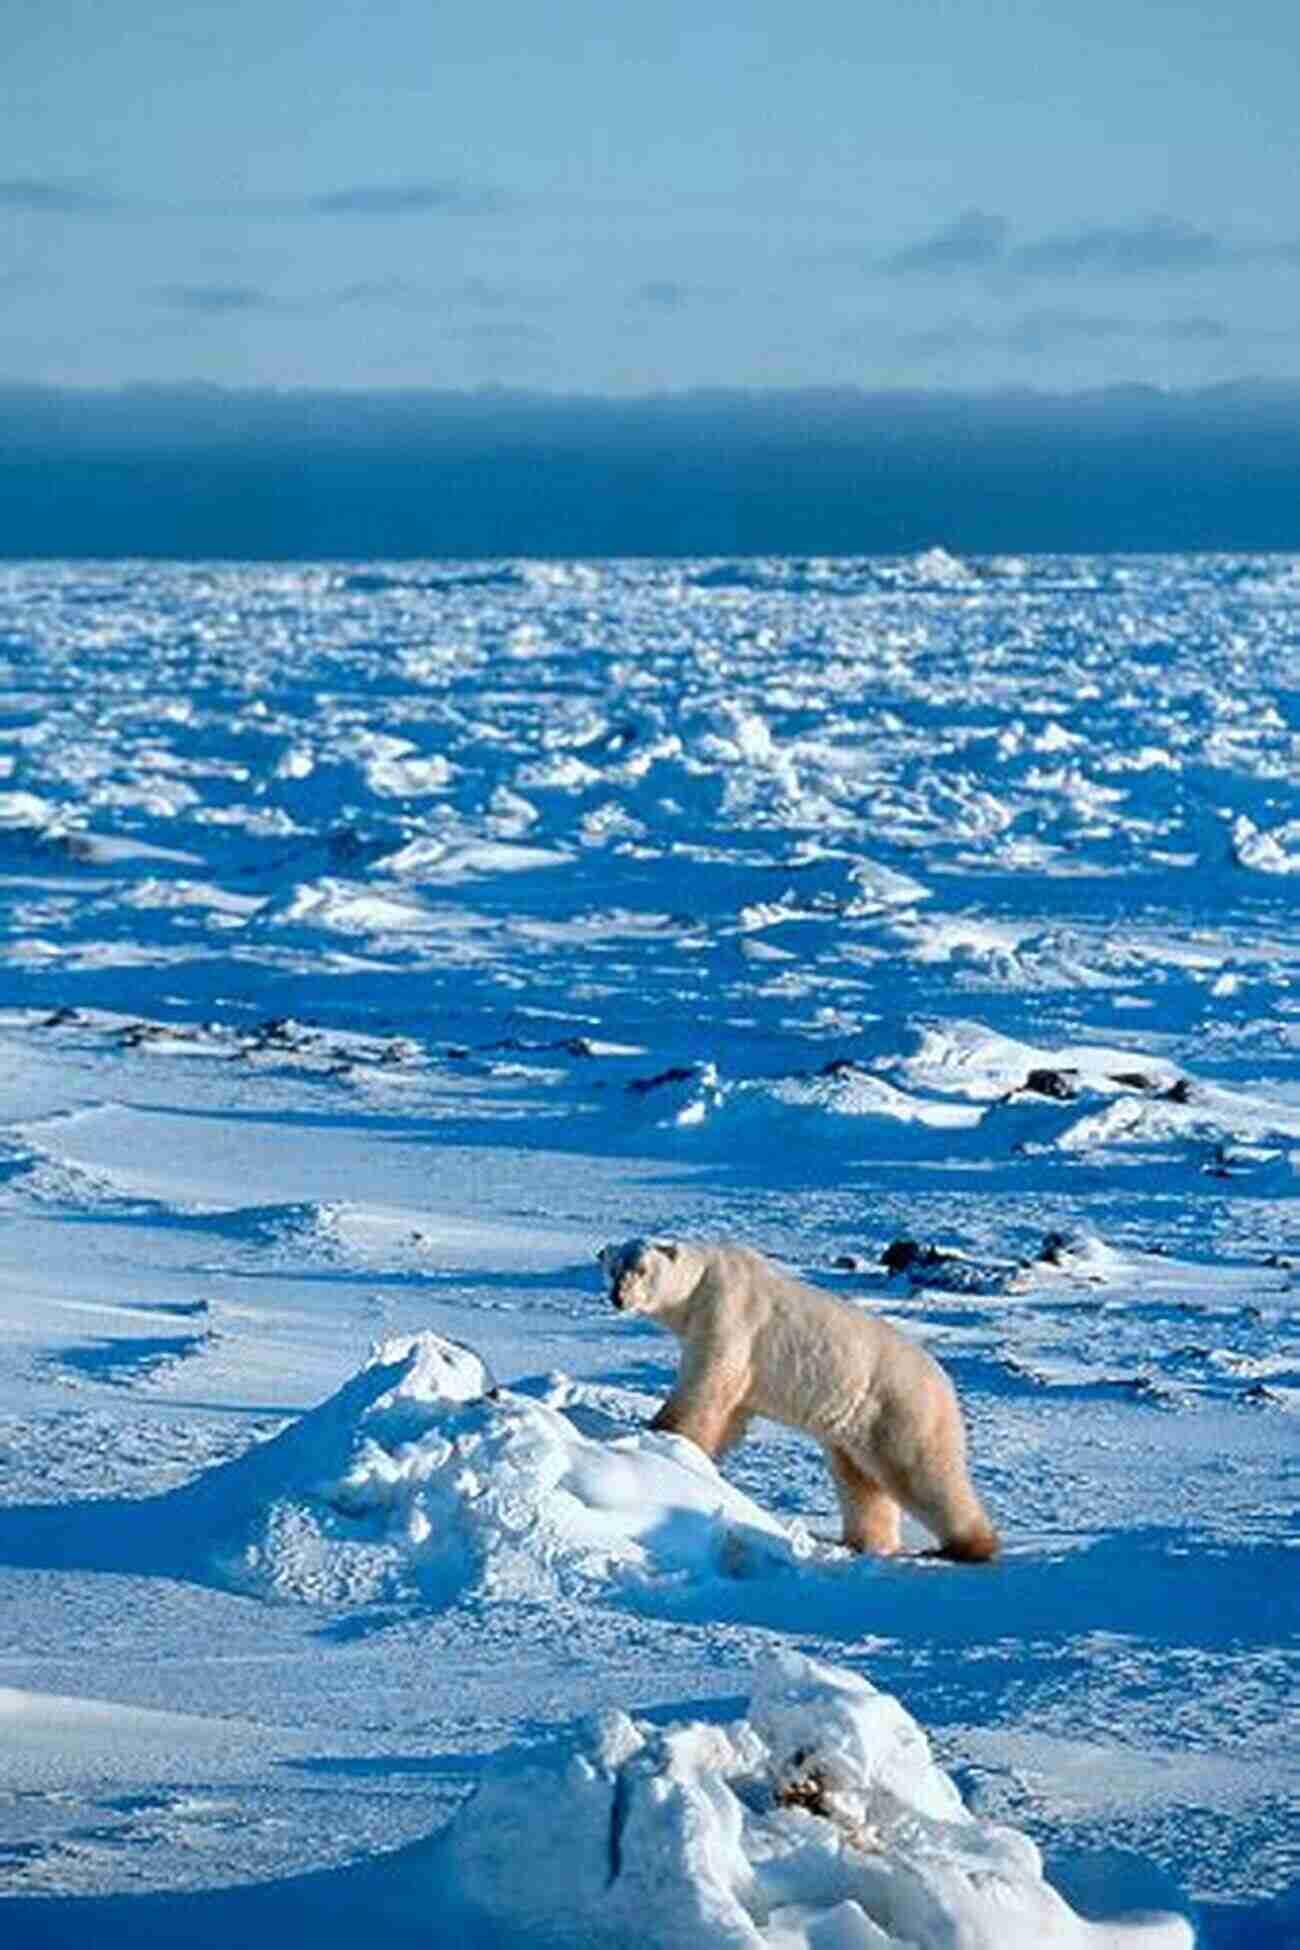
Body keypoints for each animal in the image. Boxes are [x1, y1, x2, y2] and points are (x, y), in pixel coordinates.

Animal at [596, 1240, 997, 1560]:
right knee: (861, 1482)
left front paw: (660, 1434)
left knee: (922, 1472)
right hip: (858, 1425)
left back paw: (970, 1546)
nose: (618, 1297)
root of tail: (944, 1383)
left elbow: (705, 1387)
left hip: (900, 1408)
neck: (702, 1283)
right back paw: (865, 1543)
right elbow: (731, 1410)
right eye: (613, 1268)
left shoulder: (729, 1315)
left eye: (641, 1269)